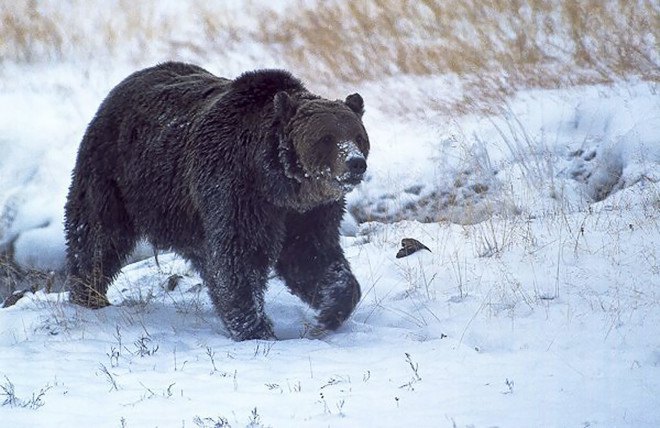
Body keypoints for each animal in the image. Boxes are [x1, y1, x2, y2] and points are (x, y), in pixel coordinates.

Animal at [64, 62, 370, 341]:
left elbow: (312, 256)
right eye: (326, 138)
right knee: (97, 234)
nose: (356, 163)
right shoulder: (236, 190)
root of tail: (125, 84)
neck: (280, 185)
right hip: (116, 175)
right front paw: (256, 329)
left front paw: (330, 311)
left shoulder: (309, 212)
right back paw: (89, 295)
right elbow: (239, 257)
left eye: (358, 136)